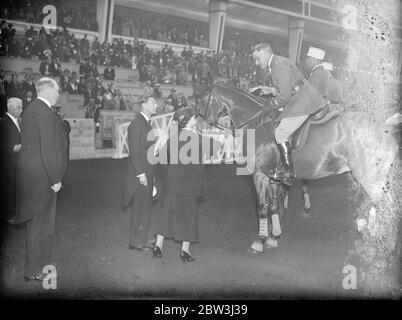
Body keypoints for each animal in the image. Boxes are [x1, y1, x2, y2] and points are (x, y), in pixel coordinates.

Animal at [193, 84, 398, 254]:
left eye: (202, 100)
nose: (197, 127)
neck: (256, 123)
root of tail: (386, 128)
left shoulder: (260, 175)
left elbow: (262, 207)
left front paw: (259, 241)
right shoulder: (273, 178)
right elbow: (274, 206)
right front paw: (274, 236)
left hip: (370, 179)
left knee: (388, 207)